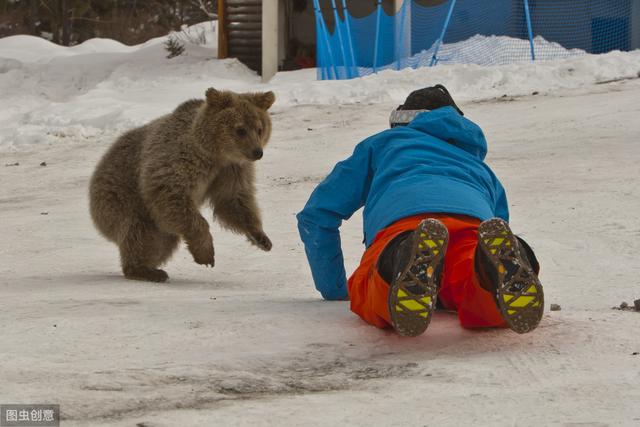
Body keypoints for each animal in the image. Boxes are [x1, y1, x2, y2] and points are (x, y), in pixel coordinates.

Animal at [89, 88, 275, 282]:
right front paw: (206, 254)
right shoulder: (179, 159)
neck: (216, 154)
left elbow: (233, 200)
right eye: (240, 129)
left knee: (163, 241)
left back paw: (152, 268)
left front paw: (261, 238)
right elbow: (173, 194)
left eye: (260, 129)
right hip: (122, 196)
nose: (257, 152)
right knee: (141, 233)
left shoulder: (231, 170)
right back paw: (144, 270)